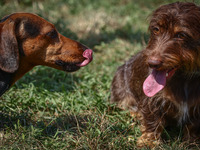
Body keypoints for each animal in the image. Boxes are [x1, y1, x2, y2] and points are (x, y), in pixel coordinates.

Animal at [111, 2, 200, 148]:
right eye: (156, 29)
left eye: (181, 35)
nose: (152, 63)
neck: (183, 77)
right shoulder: (152, 101)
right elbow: (152, 120)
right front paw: (149, 141)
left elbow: (193, 125)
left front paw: (192, 142)